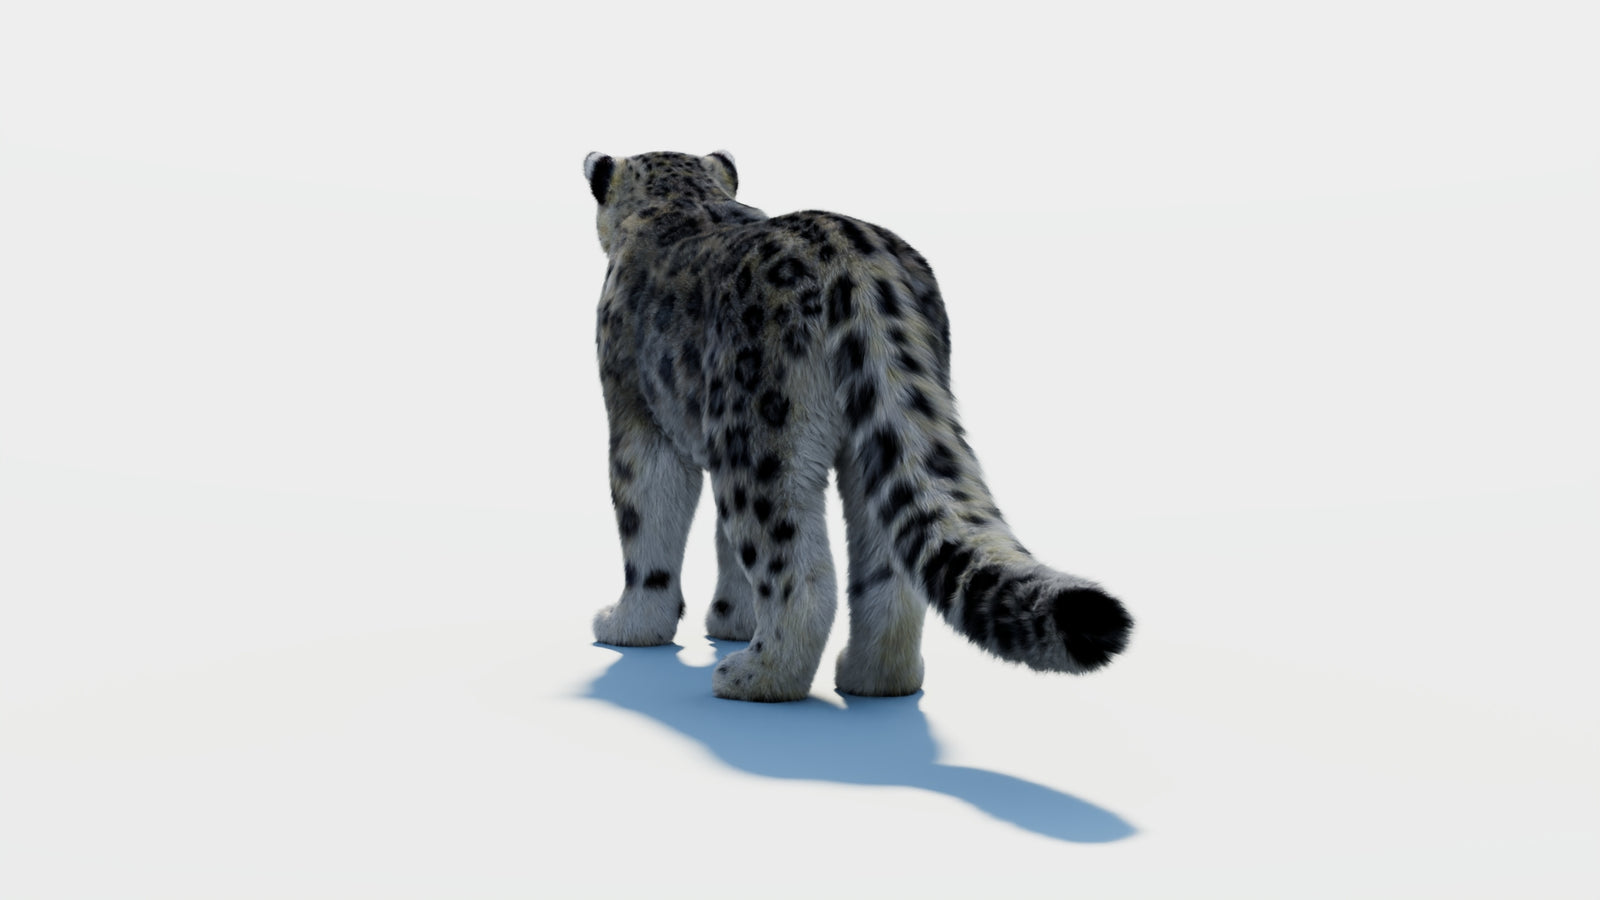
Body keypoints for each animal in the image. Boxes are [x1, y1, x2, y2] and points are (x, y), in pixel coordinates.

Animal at [584, 150, 1132, 702]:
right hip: (878, 439)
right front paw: (731, 620)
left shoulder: (636, 416)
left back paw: (756, 676)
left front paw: (629, 625)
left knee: (794, 569)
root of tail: (863, 267)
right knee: (889, 567)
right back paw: (875, 679)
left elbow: (645, 521)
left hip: (760, 441)